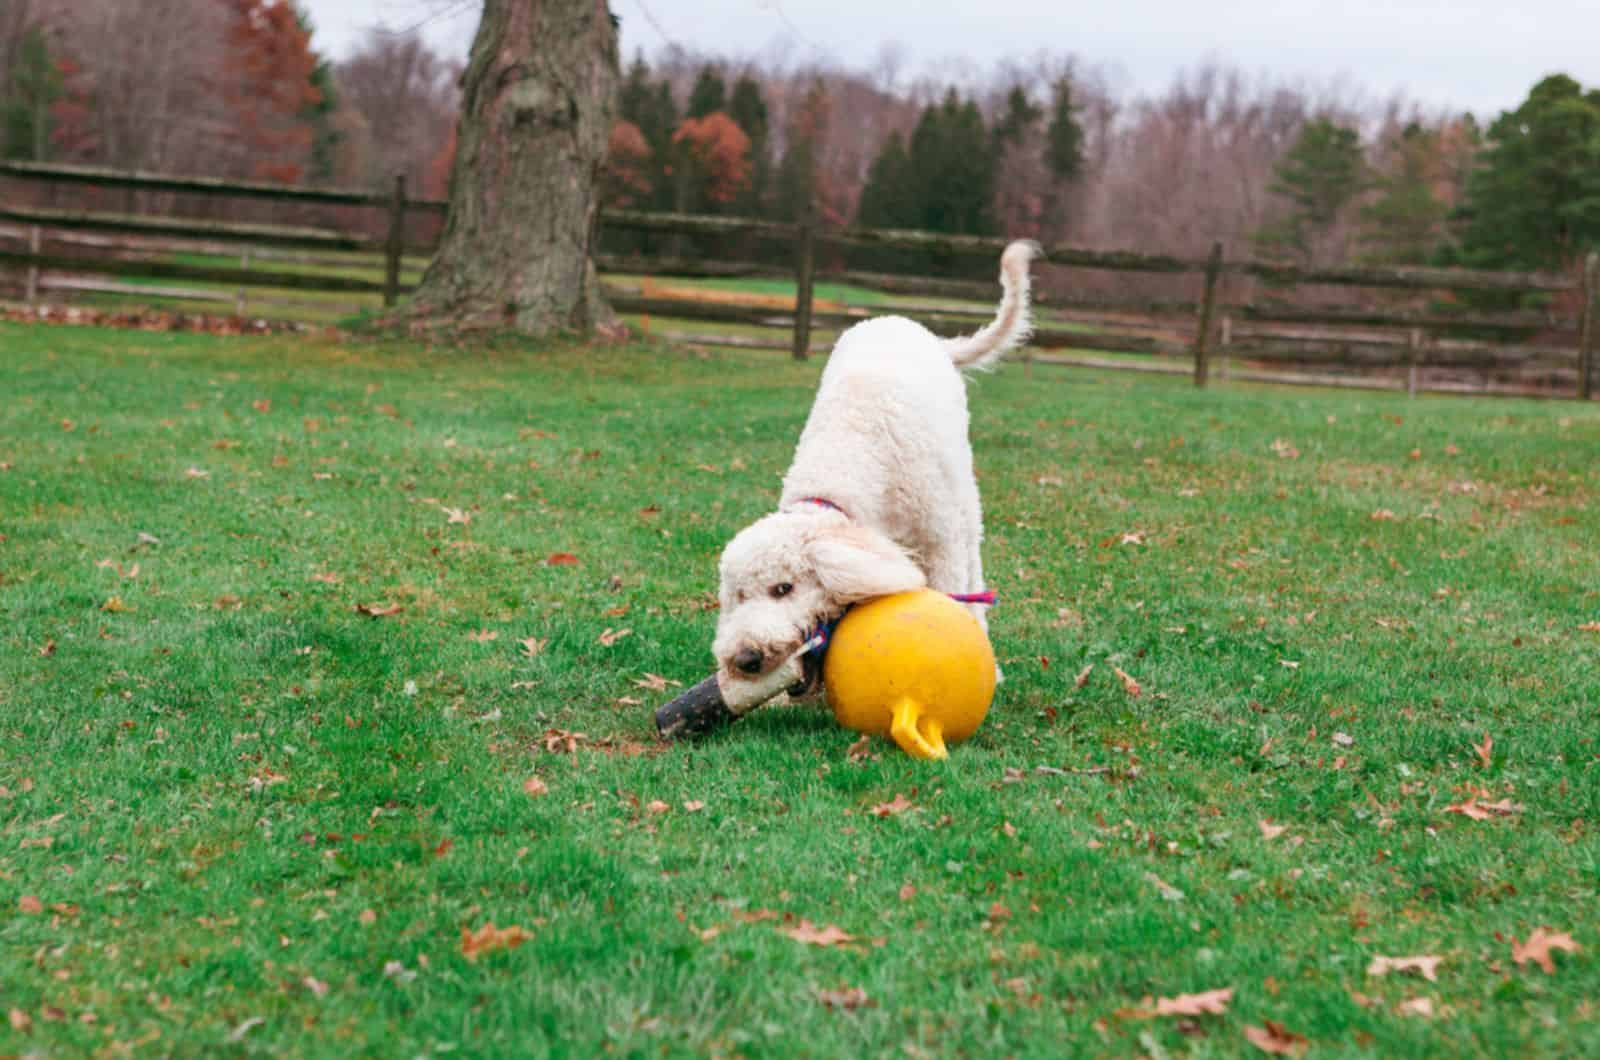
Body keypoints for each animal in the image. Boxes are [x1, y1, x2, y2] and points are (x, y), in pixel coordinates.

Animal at [710, 240, 1036, 694]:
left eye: (783, 588)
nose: (745, 659)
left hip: (963, 497)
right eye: (738, 596)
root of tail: (901, 322)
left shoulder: (940, 539)